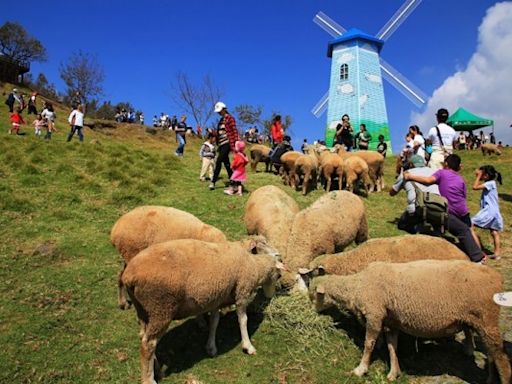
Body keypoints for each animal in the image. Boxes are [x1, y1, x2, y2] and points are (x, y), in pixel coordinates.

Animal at [122, 238, 286, 384]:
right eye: (263, 243)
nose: (279, 254)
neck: (250, 260)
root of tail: (129, 275)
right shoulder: (242, 291)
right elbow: (243, 320)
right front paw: (248, 346)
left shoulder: (216, 297)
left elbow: (214, 322)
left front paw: (211, 347)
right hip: (161, 307)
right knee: (148, 343)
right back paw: (148, 379)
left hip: (144, 310)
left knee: (144, 337)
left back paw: (156, 367)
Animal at [306, 260, 510, 382]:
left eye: (314, 295)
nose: (312, 311)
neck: (358, 286)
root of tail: (497, 277)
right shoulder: (390, 322)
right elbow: (392, 347)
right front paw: (393, 373)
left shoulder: (375, 315)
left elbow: (368, 344)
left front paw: (360, 369)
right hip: (481, 323)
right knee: (492, 354)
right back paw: (489, 379)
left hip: (487, 320)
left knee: (501, 357)